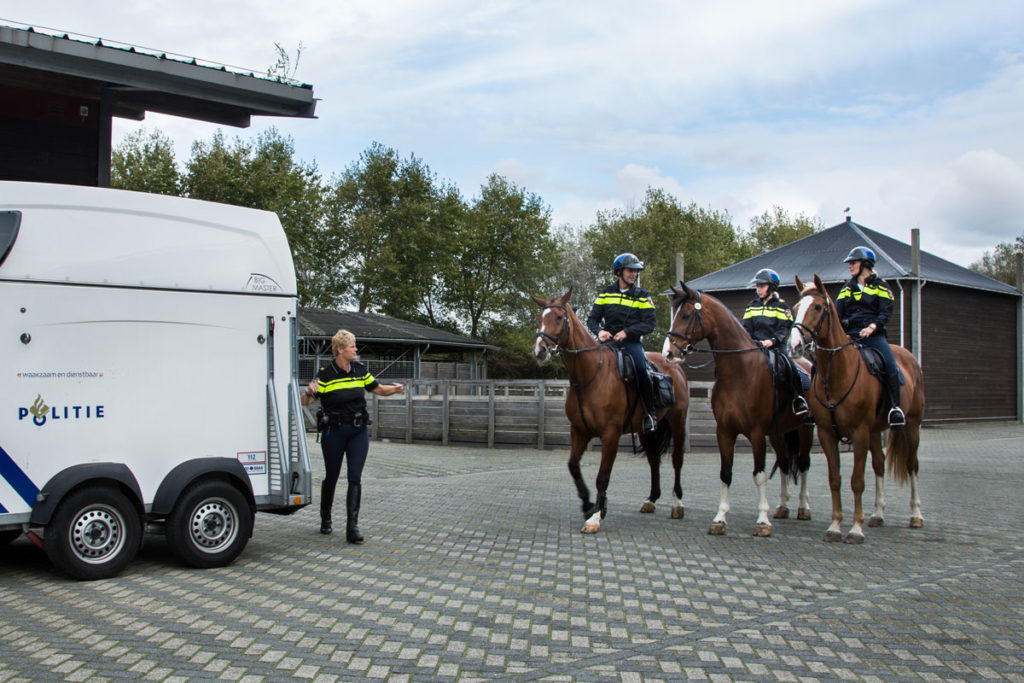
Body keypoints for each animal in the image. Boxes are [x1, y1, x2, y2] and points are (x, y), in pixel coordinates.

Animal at [536, 288, 688, 532]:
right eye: (540, 318)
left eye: (559, 318)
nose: (540, 351)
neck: (591, 375)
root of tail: (675, 367)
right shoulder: (579, 431)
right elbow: (573, 467)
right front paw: (589, 505)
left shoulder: (610, 435)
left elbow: (602, 476)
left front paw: (595, 517)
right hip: (646, 431)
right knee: (654, 460)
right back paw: (651, 499)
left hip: (678, 421)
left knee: (677, 460)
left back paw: (677, 505)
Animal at [663, 282, 815, 540]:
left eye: (685, 315)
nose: (668, 353)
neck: (741, 372)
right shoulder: (725, 432)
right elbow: (725, 473)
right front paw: (720, 519)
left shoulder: (756, 434)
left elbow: (759, 475)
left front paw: (762, 521)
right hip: (779, 434)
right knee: (785, 463)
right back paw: (783, 506)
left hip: (805, 429)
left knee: (803, 465)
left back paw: (803, 508)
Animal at [786, 274, 925, 544]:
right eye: (795, 309)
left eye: (817, 307)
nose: (794, 345)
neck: (839, 373)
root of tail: (908, 356)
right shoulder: (827, 433)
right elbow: (835, 479)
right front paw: (835, 526)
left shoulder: (859, 433)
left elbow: (857, 481)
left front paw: (855, 529)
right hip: (876, 432)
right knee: (880, 464)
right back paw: (878, 514)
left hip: (912, 425)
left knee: (912, 465)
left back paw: (916, 516)